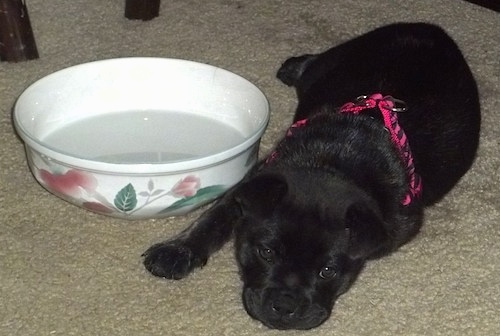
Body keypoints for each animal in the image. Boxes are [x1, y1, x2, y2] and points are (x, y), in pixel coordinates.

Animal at [142, 23, 480, 330]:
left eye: (328, 271)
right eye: (266, 253)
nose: (284, 307)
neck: (334, 163)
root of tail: (430, 29)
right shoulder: (255, 179)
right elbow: (213, 217)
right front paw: (177, 250)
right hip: (338, 59)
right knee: (314, 64)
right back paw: (294, 65)